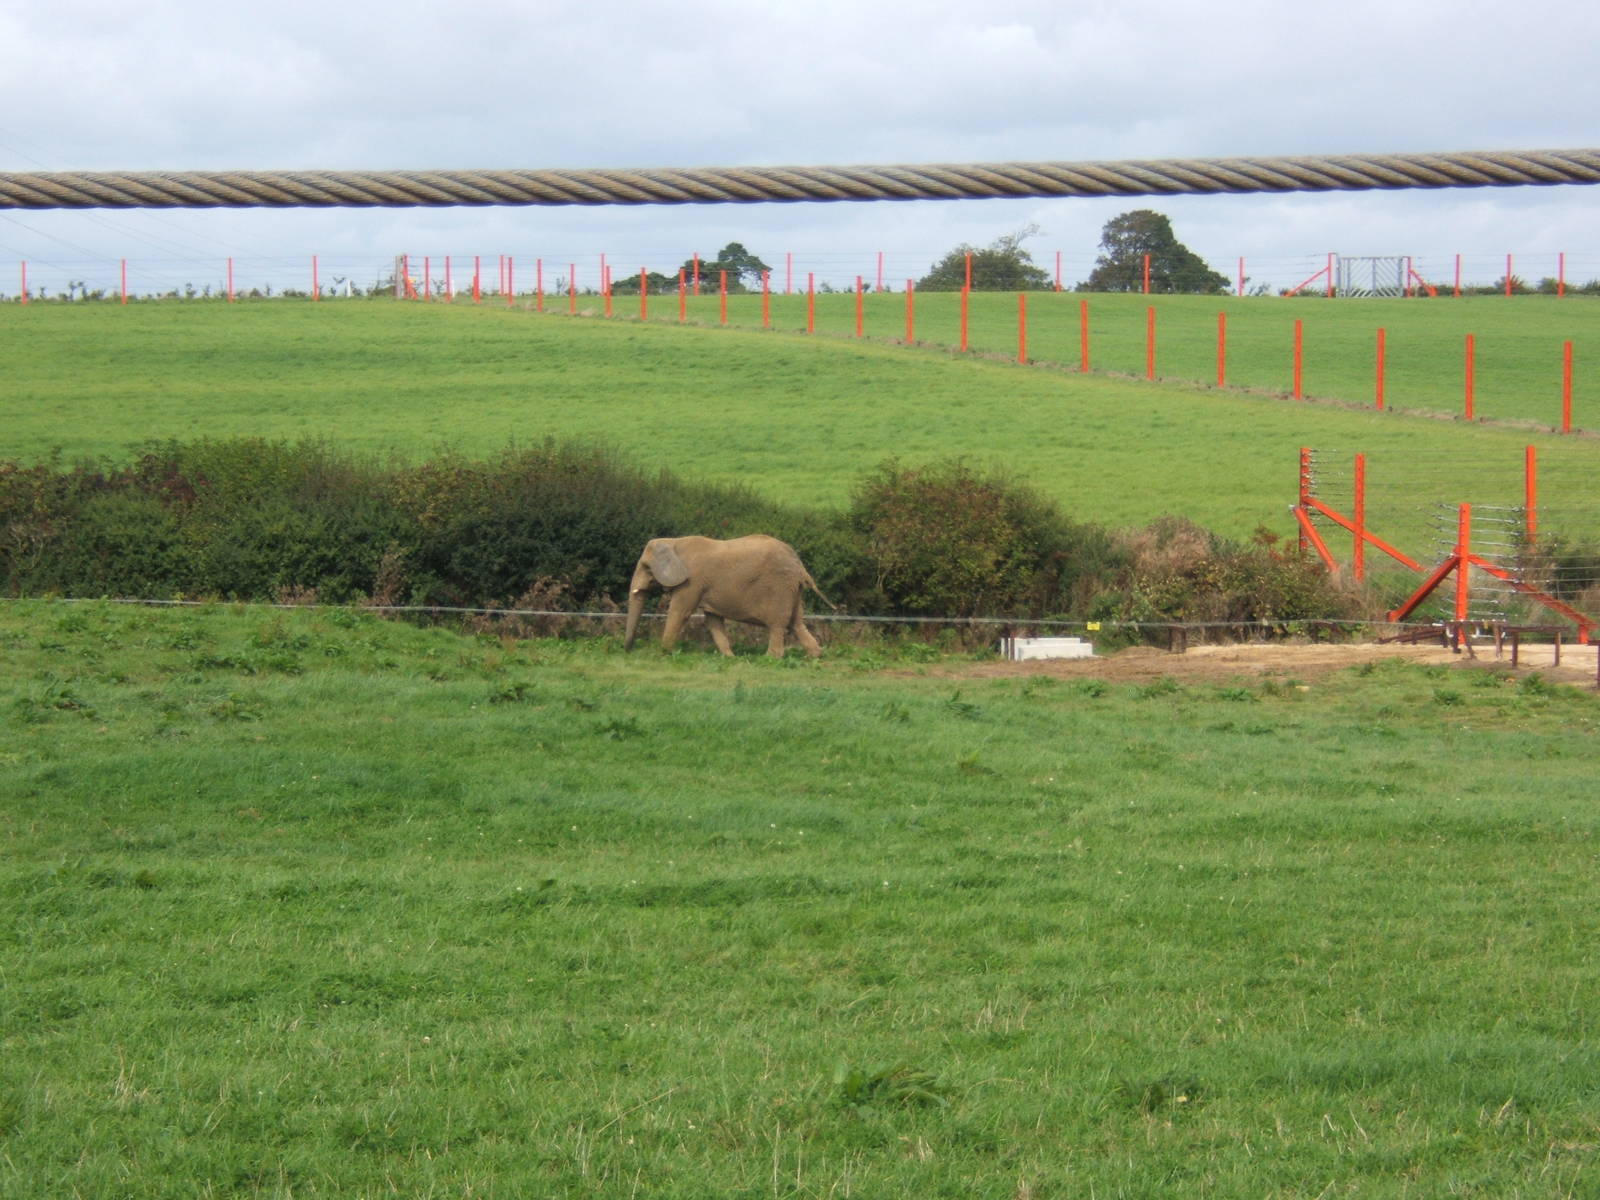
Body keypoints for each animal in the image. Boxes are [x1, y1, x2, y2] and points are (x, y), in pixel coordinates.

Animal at [623, 534, 831, 657]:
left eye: (646, 567)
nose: (627, 650)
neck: (674, 542)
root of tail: (800, 566)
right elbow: (713, 620)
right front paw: (729, 657)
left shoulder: (692, 581)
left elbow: (679, 611)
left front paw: (664, 653)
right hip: (793, 590)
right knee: (797, 623)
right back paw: (814, 656)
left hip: (780, 587)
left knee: (778, 625)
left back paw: (771, 659)